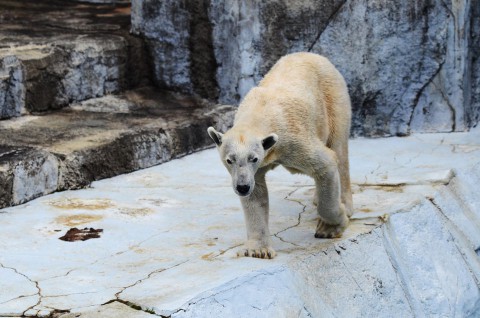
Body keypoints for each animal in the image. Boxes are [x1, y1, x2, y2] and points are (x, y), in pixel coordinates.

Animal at [207, 52, 352, 260]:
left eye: (253, 158)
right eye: (229, 160)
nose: (242, 187)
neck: (259, 112)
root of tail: (314, 55)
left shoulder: (293, 140)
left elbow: (326, 163)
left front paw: (330, 227)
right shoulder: (255, 169)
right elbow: (256, 194)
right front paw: (258, 249)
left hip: (333, 98)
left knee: (339, 148)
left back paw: (345, 205)